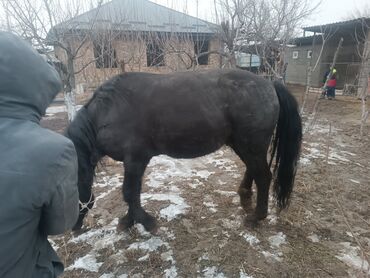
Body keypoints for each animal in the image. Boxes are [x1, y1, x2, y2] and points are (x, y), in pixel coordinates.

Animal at [66, 69, 300, 232]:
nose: (73, 228)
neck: (109, 111)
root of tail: (269, 84)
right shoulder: (133, 162)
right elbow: (132, 193)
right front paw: (129, 221)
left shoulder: (135, 159)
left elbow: (130, 192)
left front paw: (144, 222)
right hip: (244, 145)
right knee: (254, 170)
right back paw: (245, 196)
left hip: (250, 145)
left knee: (264, 177)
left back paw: (256, 217)